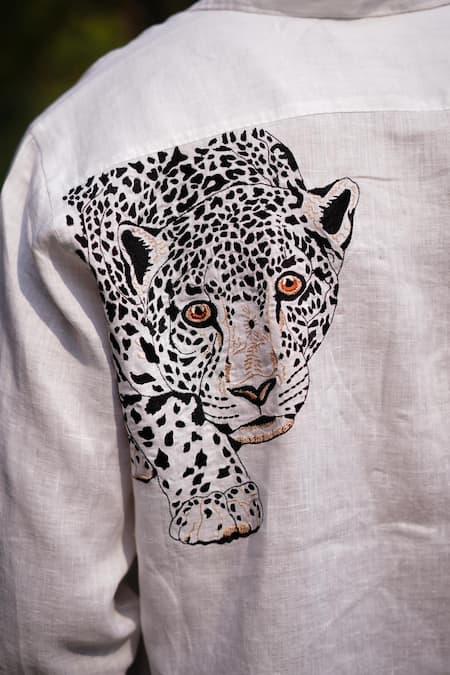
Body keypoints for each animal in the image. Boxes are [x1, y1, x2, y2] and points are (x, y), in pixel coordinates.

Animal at [63, 127, 359, 545]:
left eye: (289, 284)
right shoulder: (138, 380)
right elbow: (181, 429)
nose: (256, 390)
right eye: (198, 312)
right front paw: (217, 502)